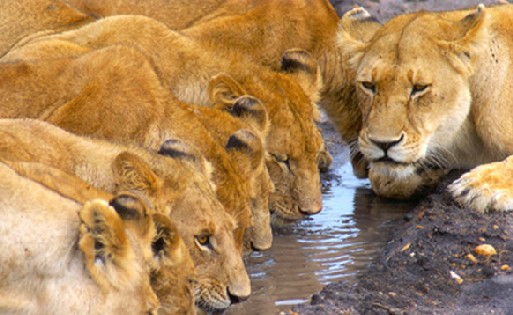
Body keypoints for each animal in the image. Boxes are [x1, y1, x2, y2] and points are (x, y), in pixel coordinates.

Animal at [336, 3, 513, 212]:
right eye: (368, 85)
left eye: (419, 88)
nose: (383, 144)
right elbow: (381, 179)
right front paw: (425, 175)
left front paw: (479, 187)